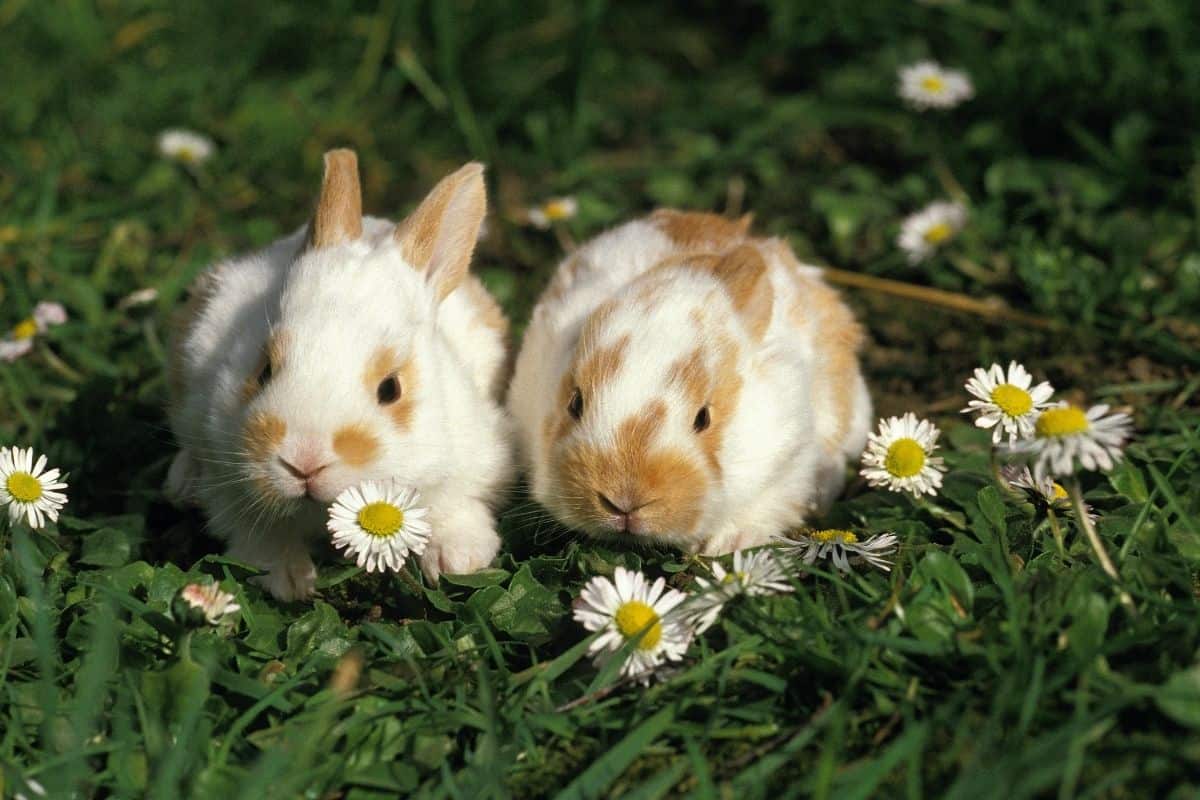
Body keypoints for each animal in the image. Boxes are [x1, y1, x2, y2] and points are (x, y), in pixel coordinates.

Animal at [166, 149, 513, 601]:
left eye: (391, 389)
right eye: (264, 370)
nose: (303, 462)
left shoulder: (478, 459)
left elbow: (455, 506)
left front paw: (459, 559)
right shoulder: (228, 481)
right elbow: (262, 538)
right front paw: (290, 581)